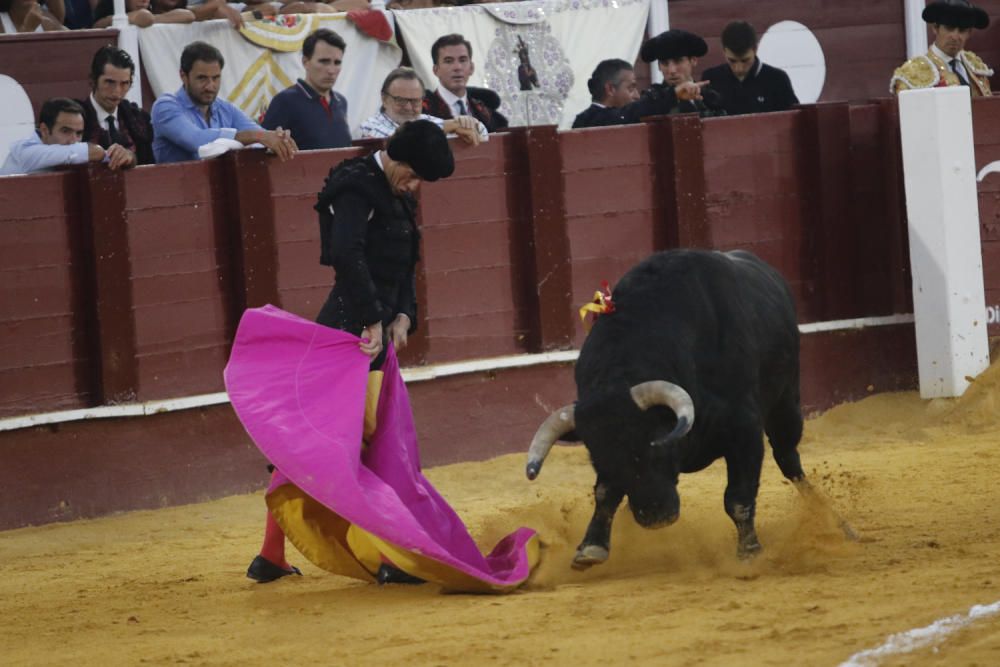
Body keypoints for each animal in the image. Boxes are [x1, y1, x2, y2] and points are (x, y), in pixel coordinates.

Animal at [528, 250, 856, 568]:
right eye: (599, 460)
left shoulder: (744, 431)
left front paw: (749, 552)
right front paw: (591, 546)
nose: (656, 517)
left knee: (790, 461)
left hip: (786, 405)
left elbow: (738, 498)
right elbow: (604, 493)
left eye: (656, 446)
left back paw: (837, 525)